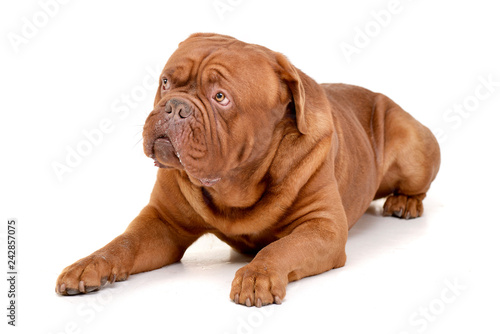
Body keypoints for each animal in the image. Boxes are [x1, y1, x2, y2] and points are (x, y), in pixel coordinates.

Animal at [54, 32, 440, 306]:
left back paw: (405, 202)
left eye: (220, 97)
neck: (236, 184)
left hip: (412, 147)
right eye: (165, 82)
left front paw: (258, 275)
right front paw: (89, 264)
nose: (175, 106)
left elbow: (281, 248)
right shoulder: (162, 221)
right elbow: (123, 243)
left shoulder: (322, 227)